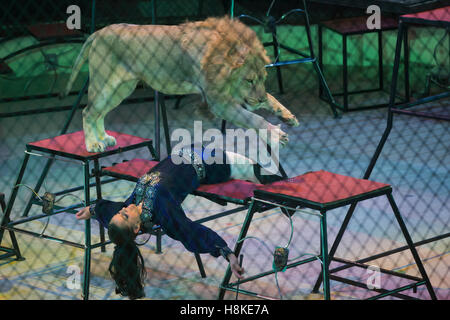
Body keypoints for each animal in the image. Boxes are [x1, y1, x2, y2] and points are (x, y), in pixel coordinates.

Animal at [60, 15, 298, 153]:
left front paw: (287, 115)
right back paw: (93, 144)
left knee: (98, 113)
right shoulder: (219, 102)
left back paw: (104, 138)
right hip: (104, 85)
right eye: (248, 80)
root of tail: (98, 32)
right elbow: (254, 118)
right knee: (88, 111)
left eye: (263, 78)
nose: (258, 98)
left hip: (121, 89)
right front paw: (276, 134)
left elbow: (271, 99)